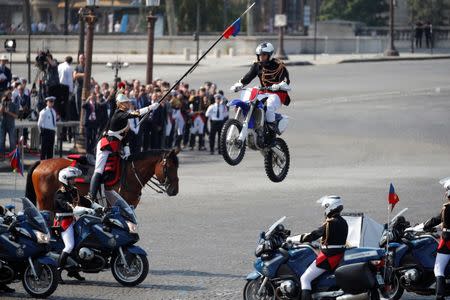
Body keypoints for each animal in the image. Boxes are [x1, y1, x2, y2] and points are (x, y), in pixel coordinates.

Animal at [25, 149, 179, 211]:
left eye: (177, 166)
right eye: (169, 167)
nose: (175, 190)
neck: (128, 174)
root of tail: (41, 162)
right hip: (46, 203)